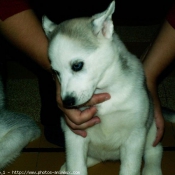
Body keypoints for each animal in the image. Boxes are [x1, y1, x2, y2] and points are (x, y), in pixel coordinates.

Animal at [42, 1, 175, 175]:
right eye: (56, 72)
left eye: (77, 65)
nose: (67, 102)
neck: (105, 91)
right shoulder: (74, 135)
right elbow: (77, 165)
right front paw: (73, 168)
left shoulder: (135, 136)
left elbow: (130, 168)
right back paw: (69, 167)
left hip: (152, 128)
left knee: (154, 151)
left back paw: (151, 170)